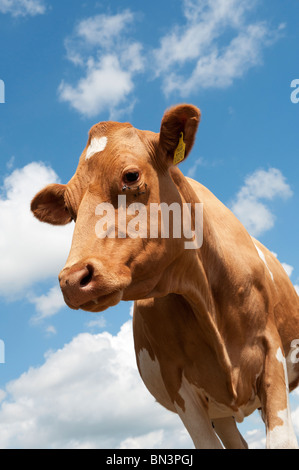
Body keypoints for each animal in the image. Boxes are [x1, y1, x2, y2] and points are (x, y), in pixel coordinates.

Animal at [31, 104, 299, 450]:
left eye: (131, 176)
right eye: (70, 209)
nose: (72, 280)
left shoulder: (271, 355)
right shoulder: (181, 389)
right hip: (221, 413)